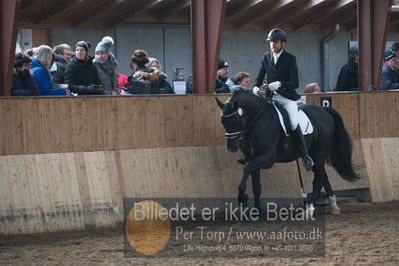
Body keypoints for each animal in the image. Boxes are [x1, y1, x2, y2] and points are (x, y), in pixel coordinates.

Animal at [217, 90, 360, 215]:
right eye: (222, 121)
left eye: (235, 120)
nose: (232, 147)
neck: (258, 122)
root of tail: (324, 110)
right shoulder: (251, 157)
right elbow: (256, 186)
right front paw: (255, 212)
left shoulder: (267, 159)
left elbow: (246, 168)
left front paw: (242, 197)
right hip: (314, 155)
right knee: (323, 176)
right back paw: (333, 206)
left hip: (319, 152)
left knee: (319, 179)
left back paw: (309, 210)